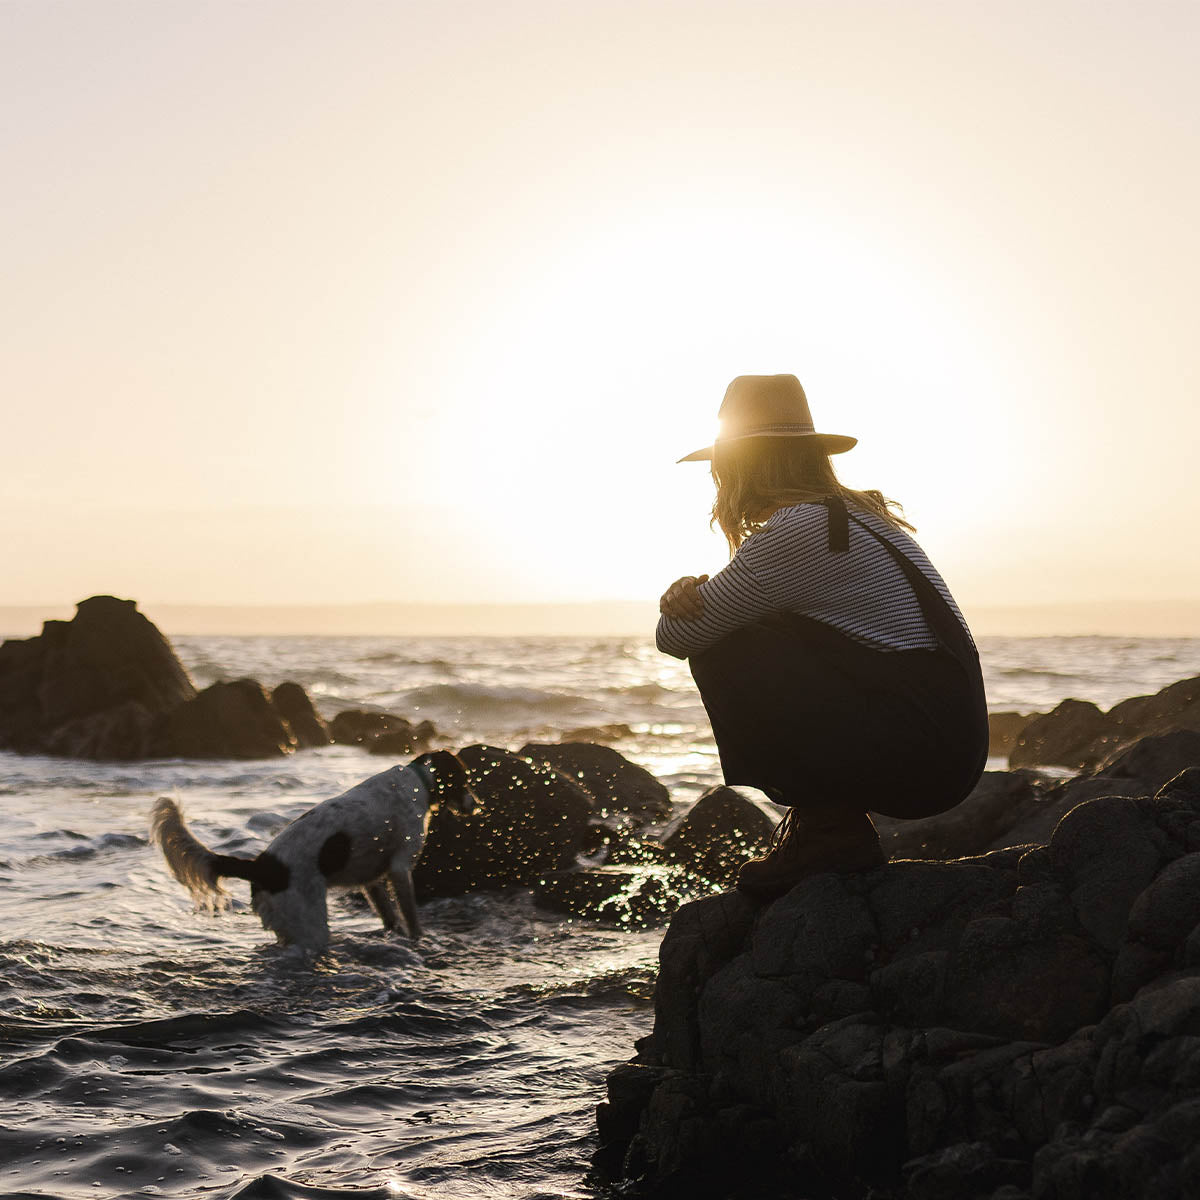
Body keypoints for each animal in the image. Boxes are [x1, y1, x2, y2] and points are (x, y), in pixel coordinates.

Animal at [147, 748, 470, 955]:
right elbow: (412, 917)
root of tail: (260, 865)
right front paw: (418, 941)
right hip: (310, 927)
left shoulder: (372, 880)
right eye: (465, 779)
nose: (475, 804)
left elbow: (390, 917)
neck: (420, 782)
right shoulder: (400, 869)